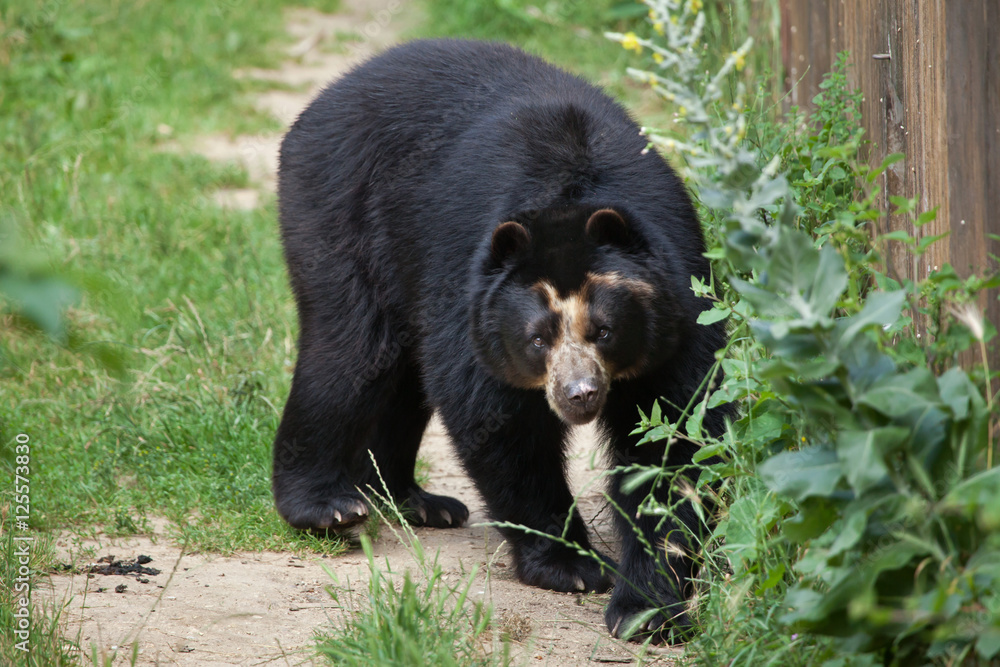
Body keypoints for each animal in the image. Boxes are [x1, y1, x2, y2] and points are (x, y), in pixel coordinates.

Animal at [272, 39, 732, 643]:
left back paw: (418, 501)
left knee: (400, 379)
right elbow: (499, 420)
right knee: (351, 354)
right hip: (340, 212)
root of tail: (329, 94)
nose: (580, 395)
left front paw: (646, 607)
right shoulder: (468, 289)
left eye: (604, 331)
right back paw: (329, 506)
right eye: (538, 339)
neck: (570, 191)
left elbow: (673, 440)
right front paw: (571, 565)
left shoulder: (678, 302)